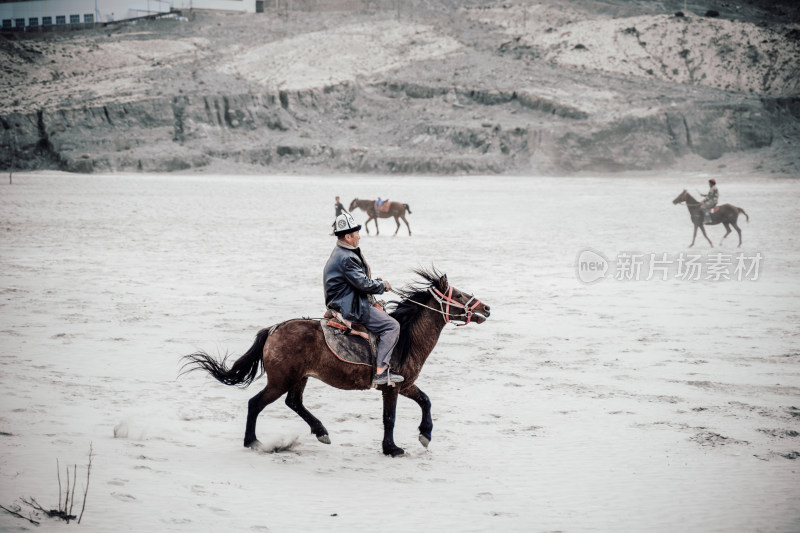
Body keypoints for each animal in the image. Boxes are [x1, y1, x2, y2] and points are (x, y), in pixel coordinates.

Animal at [180, 268, 488, 456]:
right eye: (459, 295)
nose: (486, 308)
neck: (405, 337)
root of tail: (274, 329)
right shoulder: (391, 387)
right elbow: (390, 418)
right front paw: (392, 448)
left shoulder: (406, 384)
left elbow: (425, 401)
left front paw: (425, 435)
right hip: (281, 380)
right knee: (256, 403)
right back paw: (252, 442)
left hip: (299, 378)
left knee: (294, 402)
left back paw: (321, 432)